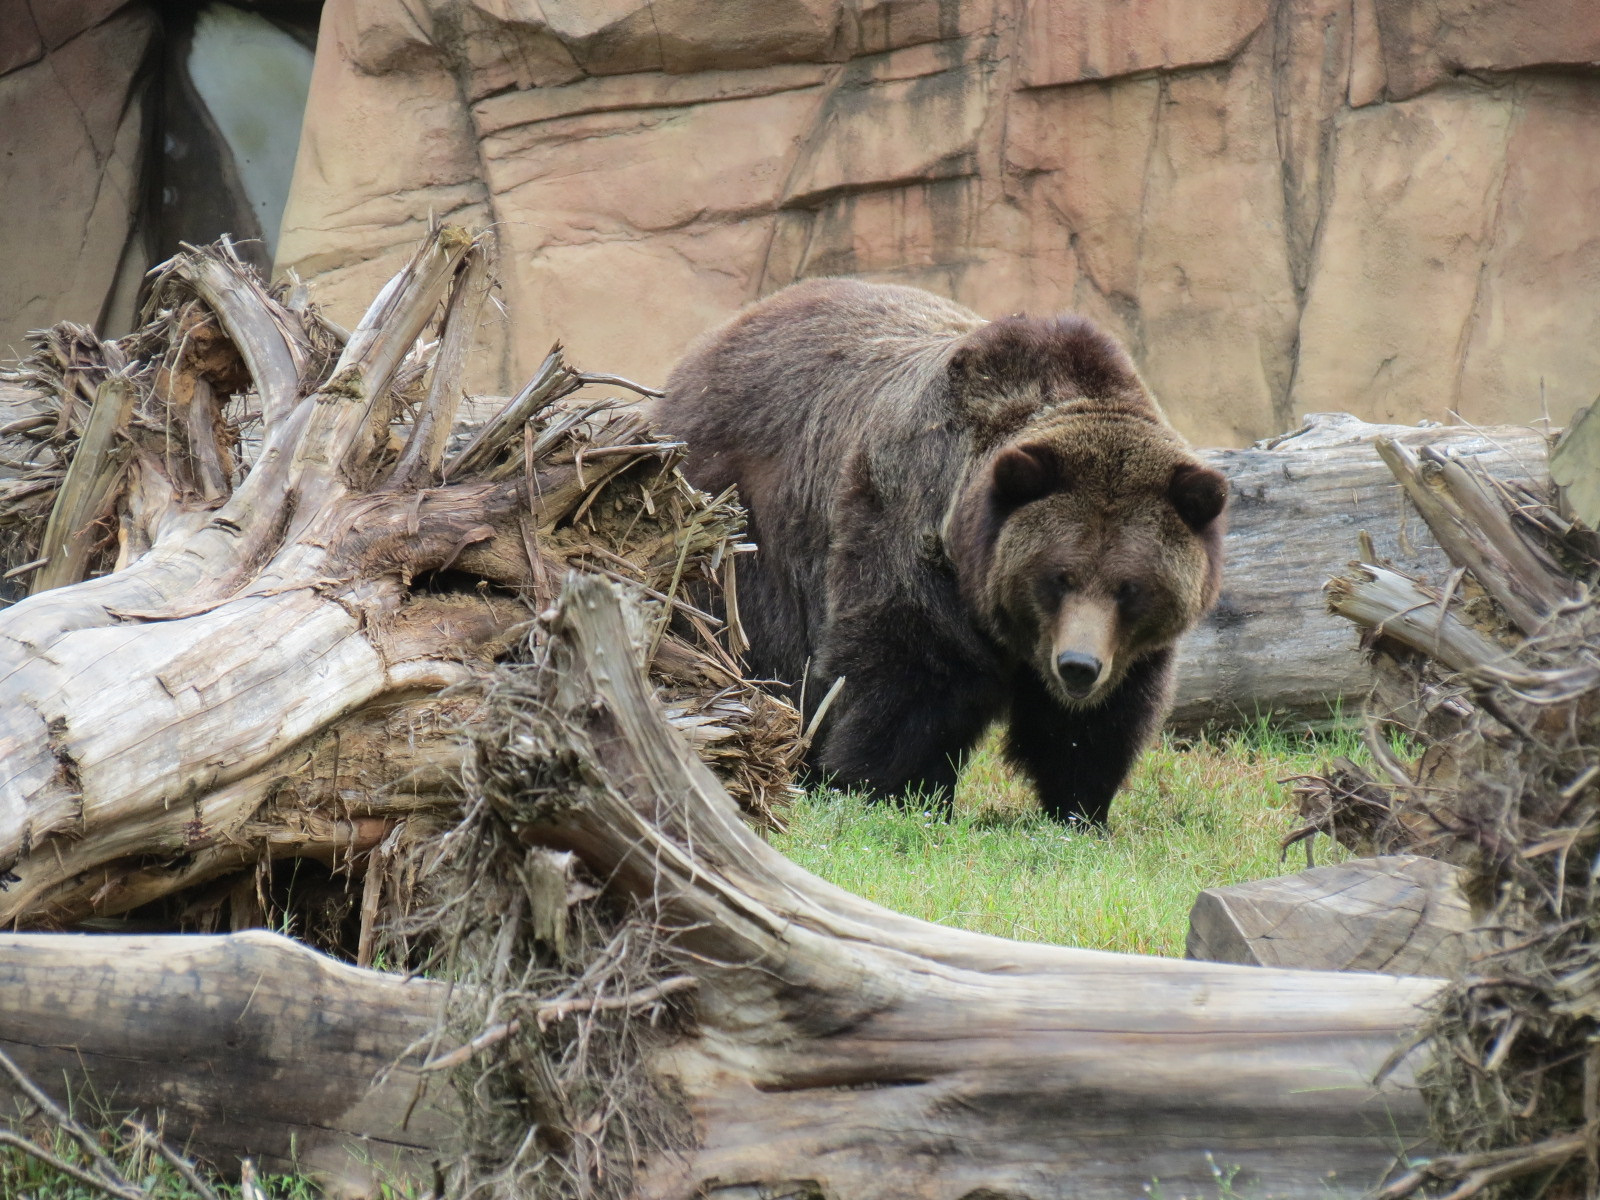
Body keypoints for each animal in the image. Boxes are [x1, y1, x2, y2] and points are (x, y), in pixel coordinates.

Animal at [649, 278, 1226, 824]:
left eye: (1131, 587)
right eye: (1057, 576)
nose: (1078, 666)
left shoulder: (1127, 648)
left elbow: (1098, 723)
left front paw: (1081, 808)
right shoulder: (910, 528)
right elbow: (910, 679)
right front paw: (888, 791)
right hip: (742, 518)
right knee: (761, 647)